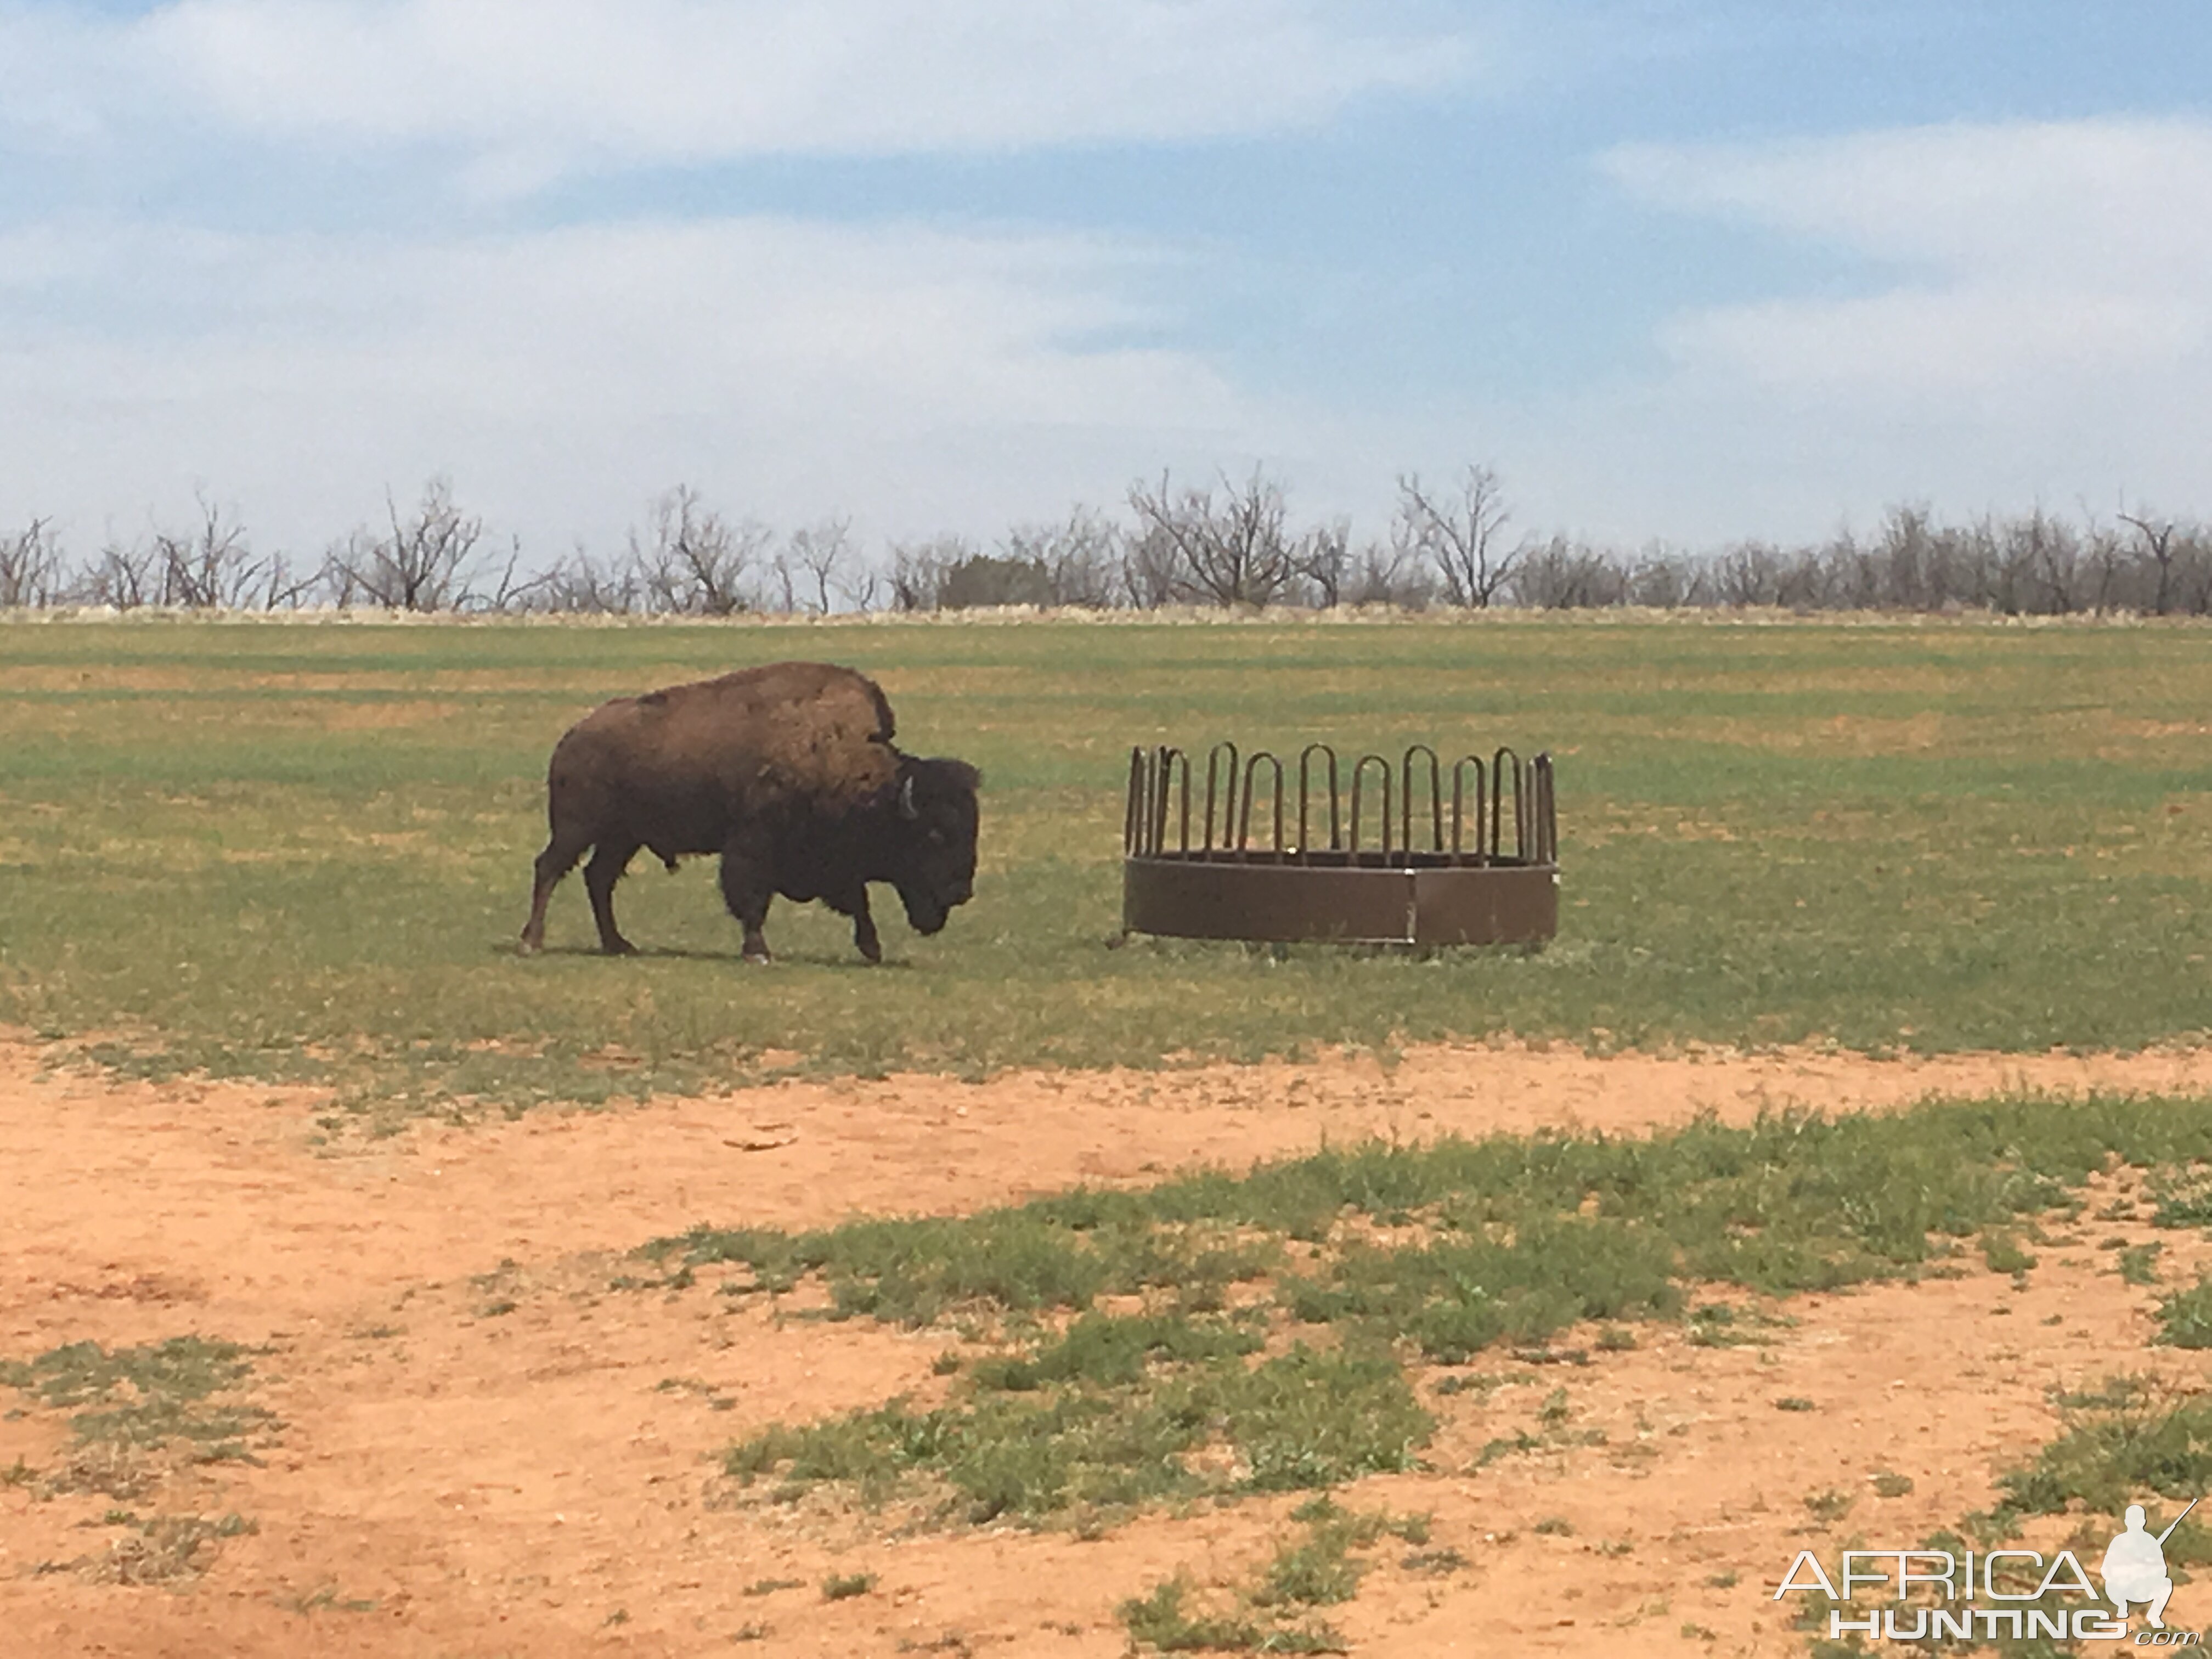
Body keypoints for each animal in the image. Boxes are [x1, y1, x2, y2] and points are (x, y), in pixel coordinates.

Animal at [517, 663, 978, 969]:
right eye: (935, 835)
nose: (961, 891)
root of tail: (572, 737)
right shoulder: (753, 845)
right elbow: (753, 900)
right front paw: (758, 952)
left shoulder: (832, 860)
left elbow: (856, 899)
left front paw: (872, 949)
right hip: (578, 828)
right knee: (550, 868)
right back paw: (532, 942)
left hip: (622, 837)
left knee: (598, 878)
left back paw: (618, 944)